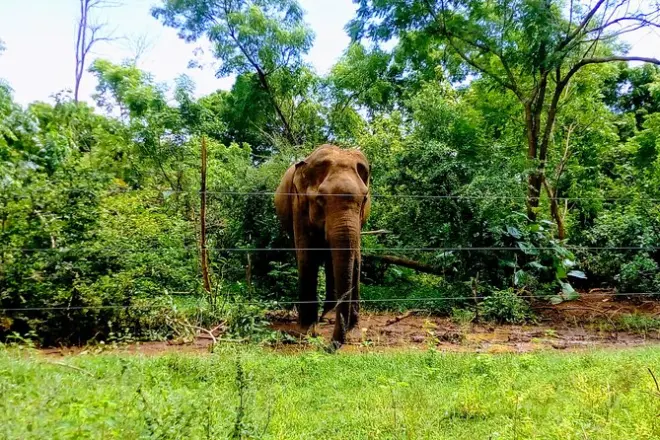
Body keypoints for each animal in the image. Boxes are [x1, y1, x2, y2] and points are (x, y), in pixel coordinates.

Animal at [274, 144, 371, 346]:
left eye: (364, 200)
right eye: (320, 200)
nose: (329, 346)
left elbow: (356, 259)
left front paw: (354, 335)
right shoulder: (299, 205)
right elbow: (307, 256)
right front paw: (306, 332)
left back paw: (329, 316)